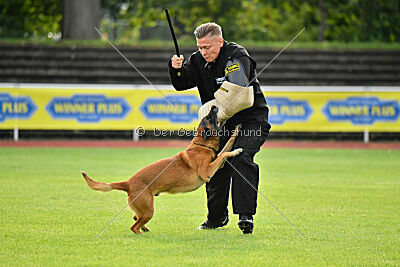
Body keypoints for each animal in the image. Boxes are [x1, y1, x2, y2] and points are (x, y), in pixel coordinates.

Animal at [83, 105, 242, 236]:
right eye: (208, 117)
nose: (214, 105)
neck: (201, 146)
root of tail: (128, 183)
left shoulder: (216, 165)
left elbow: (226, 146)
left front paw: (236, 131)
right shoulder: (207, 172)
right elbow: (223, 154)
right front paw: (236, 150)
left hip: (144, 210)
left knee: (135, 217)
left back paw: (145, 228)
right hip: (148, 210)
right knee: (134, 226)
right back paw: (142, 233)